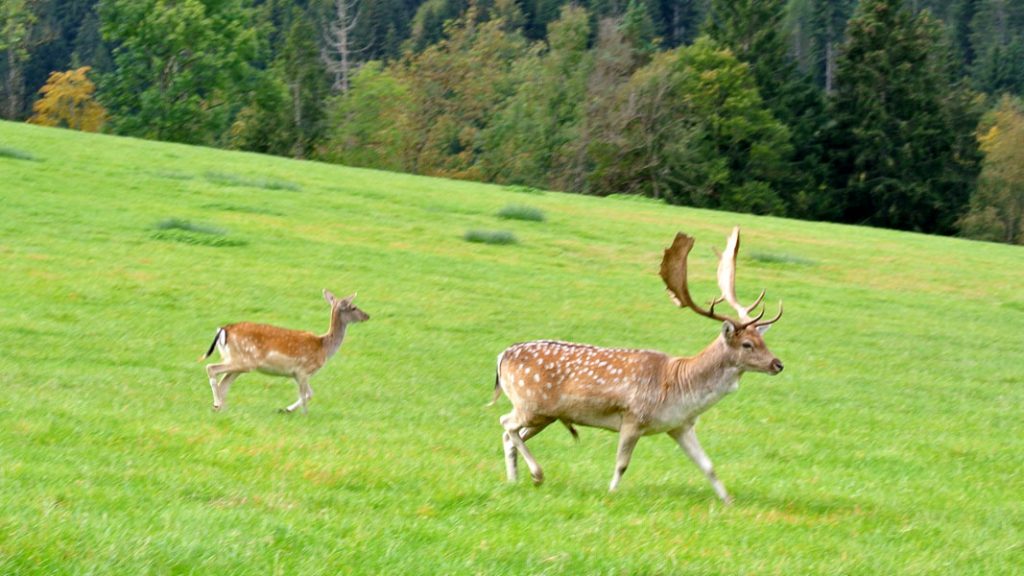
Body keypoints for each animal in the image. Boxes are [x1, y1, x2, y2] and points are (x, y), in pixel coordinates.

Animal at [198, 289, 368, 409]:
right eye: (353, 307)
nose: (367, 316)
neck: (324, 347)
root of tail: (224, 329)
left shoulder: (296, 374)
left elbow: (309, 394)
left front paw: (286, 409)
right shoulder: (303, 370)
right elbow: (306, 395)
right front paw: (292, 411)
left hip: (235, 361)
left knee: (224, 383)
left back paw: (222, 408)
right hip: (244, 360)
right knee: (211, 368)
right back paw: (217, 405)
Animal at [491, 226, 778, 500]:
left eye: (762, 340)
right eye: (747, 344)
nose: (778, 363)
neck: (680, 389)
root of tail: (501, 356)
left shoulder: (680, 426)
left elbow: (708, 466)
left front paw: (728, 500)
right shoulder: (633, 418)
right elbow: (622, 464)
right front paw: (611, 493)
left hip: (545, 415)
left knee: (509, 435)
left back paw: (515, 480)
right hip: (531, 404)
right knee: (506, 423)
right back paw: (537, 474)